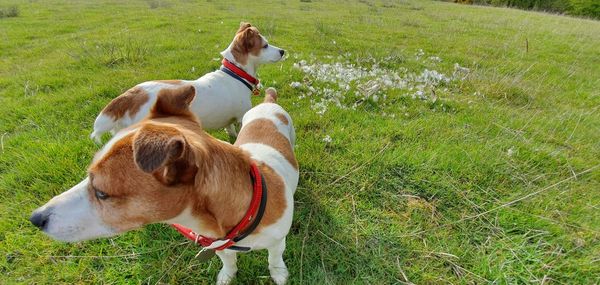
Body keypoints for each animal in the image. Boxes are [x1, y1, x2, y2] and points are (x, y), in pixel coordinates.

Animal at [89, 21, 286, 142]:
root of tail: (131, 96)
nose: (283, 51)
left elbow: (231, 131)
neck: (235, 74)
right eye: (265, 45)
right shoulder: (241, 116)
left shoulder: (230, 120)